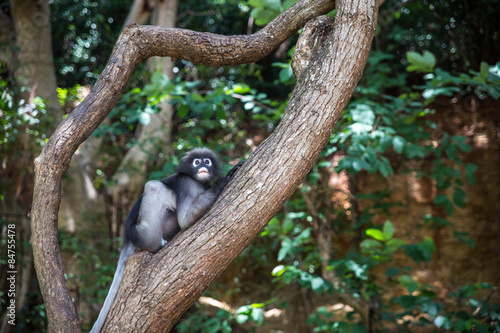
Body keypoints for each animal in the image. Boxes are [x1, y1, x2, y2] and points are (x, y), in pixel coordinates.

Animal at [93, 148, 243, 332]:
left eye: (206, 161)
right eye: (196, 162)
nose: (202, 166)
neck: (198, 181)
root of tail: (128, 237)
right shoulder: (187, 184)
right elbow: (185, 218)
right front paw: (222, 180)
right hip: (143, 232)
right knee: (153, 186)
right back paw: (157, 244)